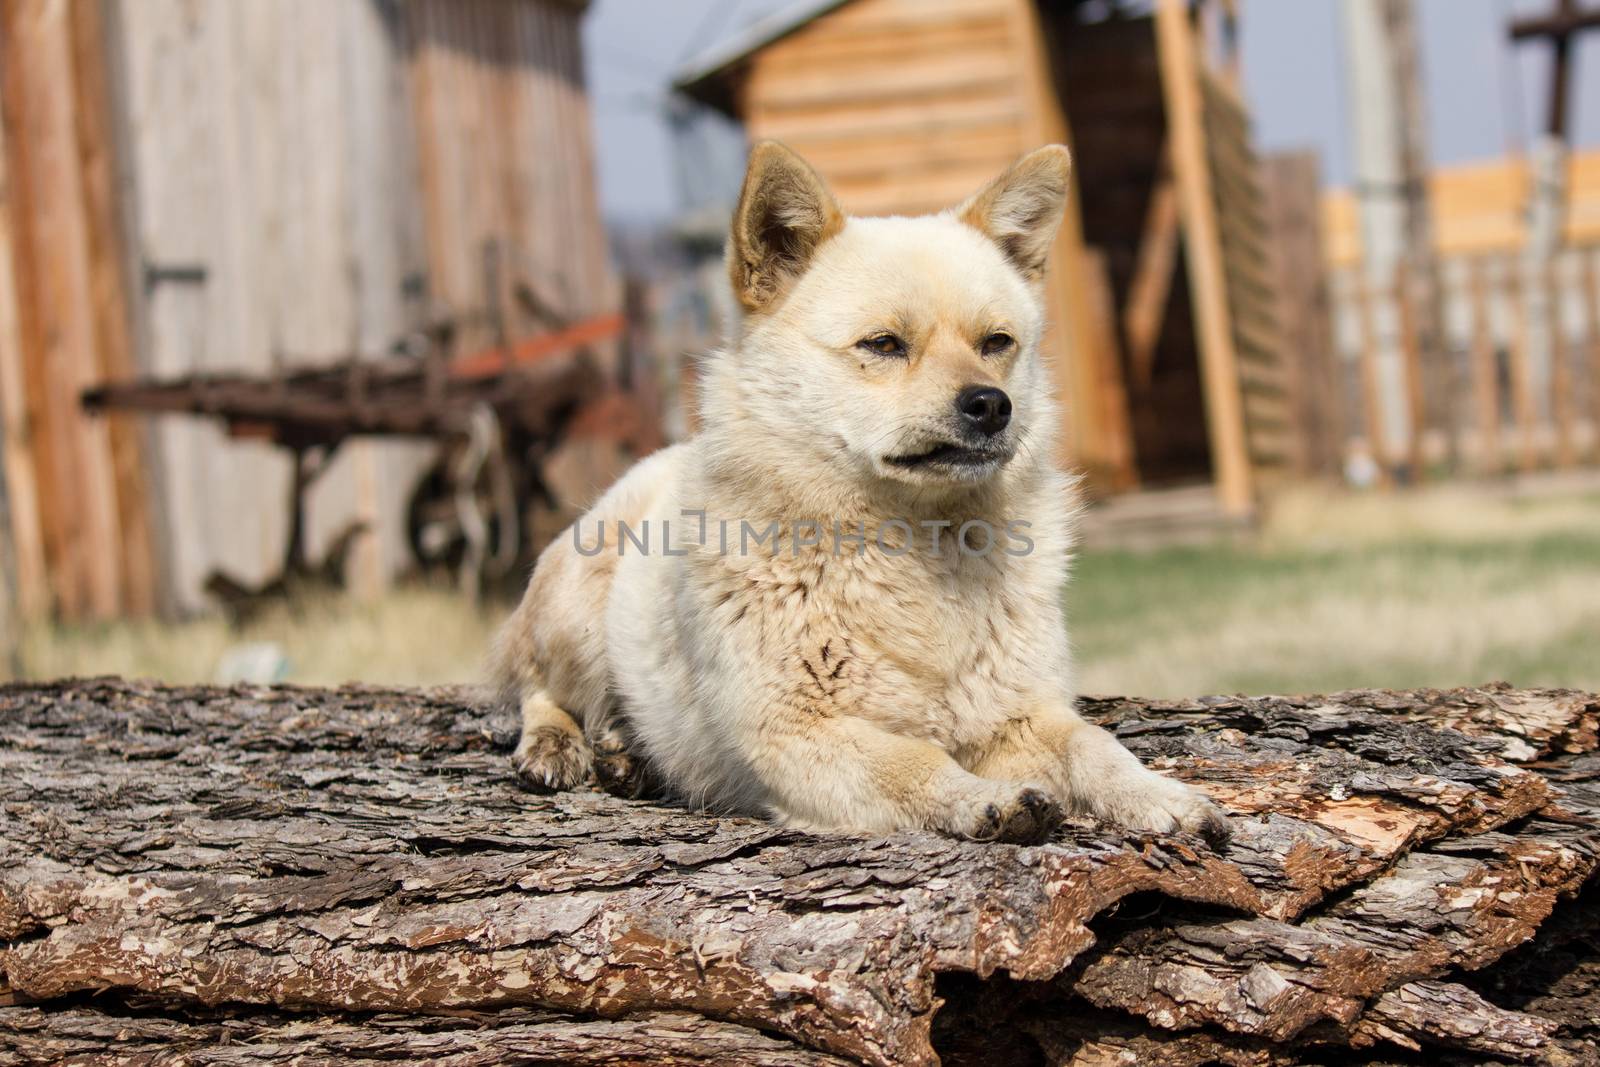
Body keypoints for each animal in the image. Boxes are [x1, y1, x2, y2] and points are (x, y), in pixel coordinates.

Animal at [492, 141, 1228, 844]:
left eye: (997, 343)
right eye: (883, 344)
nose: (993, 405)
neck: (916, 546)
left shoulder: (1021, 714)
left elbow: (1094, 746)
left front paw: (1164, 797)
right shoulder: (796, 735)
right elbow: (913, 760)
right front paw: (983, 800)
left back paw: (626, 752)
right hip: (574, 610)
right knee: (536, 686)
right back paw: (557, 745)